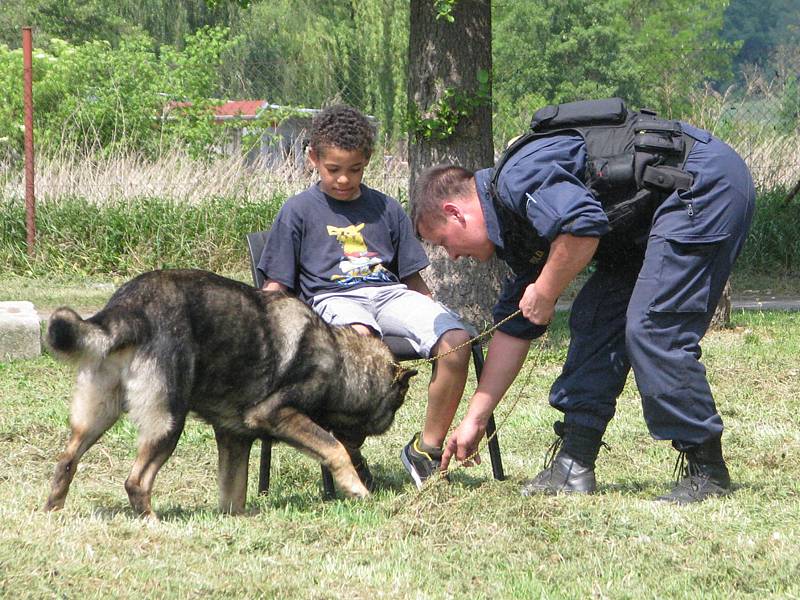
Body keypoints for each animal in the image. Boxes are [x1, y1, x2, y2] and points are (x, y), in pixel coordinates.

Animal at [43, 270, 418, 516]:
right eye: (397, 404)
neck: (341, 360)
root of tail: (128, 306)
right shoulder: (276, 414)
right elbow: (334, 449)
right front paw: (357, 489)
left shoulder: (234, 438)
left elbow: (233, 494)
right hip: (168, 423)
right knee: (136, 481)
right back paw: (150, 521)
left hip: (96, 417)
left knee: (66, 461)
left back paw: (54, 510)